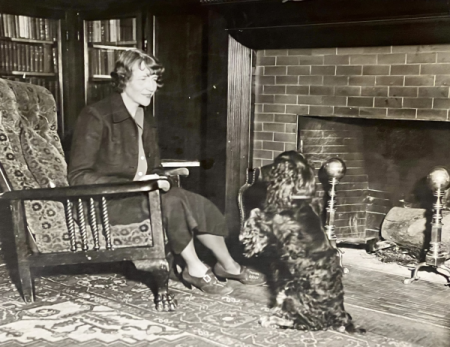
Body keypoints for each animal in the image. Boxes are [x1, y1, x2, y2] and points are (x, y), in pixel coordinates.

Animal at [241, 152, 364, 334]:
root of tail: (339, 315)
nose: (257, 170)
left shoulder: (273, 224)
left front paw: (248, 239)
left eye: (275, 164)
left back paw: (271, 319)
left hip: (292, 290)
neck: (297, 197)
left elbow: (255, 212)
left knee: (308, 323)